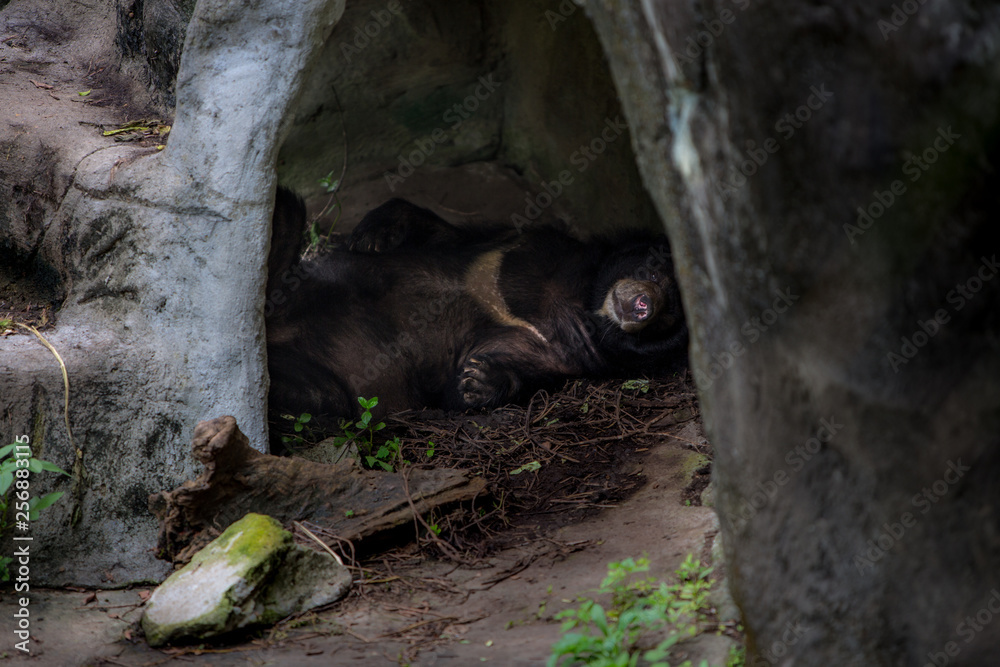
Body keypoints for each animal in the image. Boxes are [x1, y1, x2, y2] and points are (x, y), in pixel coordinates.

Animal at [265, 189, 687, 440]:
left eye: (670, 316)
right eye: (654, 272)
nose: (644, 305)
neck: (583, 299)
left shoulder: (565, 350)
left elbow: (471, 383)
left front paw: (479, 379)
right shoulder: (522, 246)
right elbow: (448, 235)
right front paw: (376, 229)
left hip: (325, 382)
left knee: (315, 395)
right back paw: (283, 218)